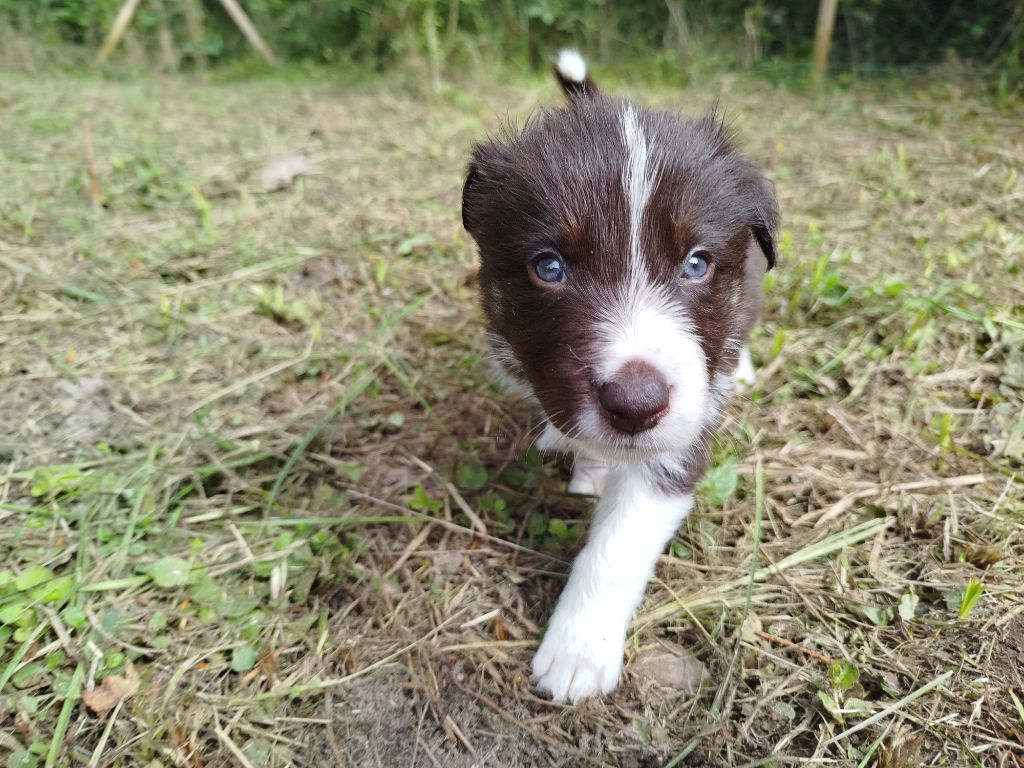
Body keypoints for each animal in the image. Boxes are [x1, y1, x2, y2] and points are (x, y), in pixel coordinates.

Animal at [461, 49, 778, 703]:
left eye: (696, 264)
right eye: (549, 267)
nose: (636, 404)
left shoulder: (683, 438)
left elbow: (618, 544)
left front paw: (578, 651)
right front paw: (587, 466)